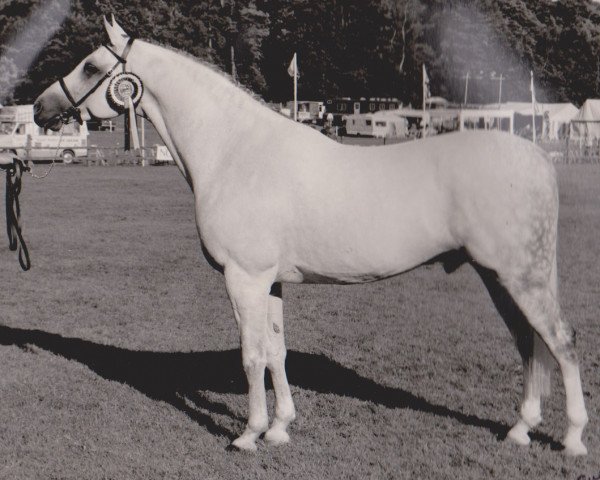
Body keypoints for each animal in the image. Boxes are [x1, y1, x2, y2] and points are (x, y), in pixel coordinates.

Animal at [31, 17, 584, 454]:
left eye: (90, 67)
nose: (39, 108)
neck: (234, 150)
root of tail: (537, 157)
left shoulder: (244, 278)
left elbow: (252, 354)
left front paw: (248, 435)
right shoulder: (270, 281)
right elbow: (277, 352)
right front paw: (280, 429)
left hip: (521, 277)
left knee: (560, 341)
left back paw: (573, 439)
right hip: (499, 278)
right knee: (530, 344)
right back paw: (520, 430)